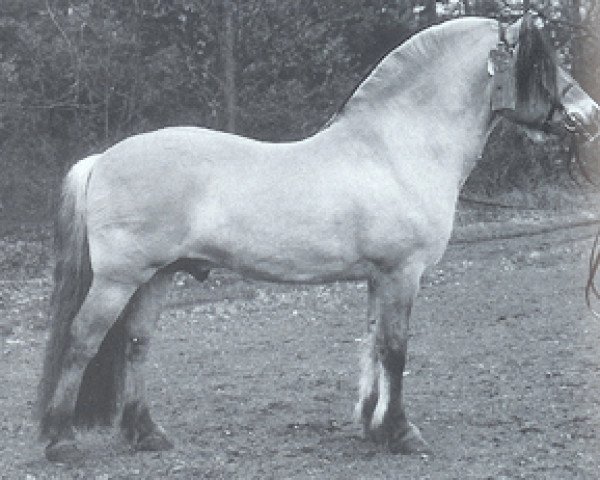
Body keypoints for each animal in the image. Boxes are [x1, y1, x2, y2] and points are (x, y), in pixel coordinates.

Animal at [37, 12, 600, 462]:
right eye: (541, 64)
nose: (589, 114)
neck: (395, 150)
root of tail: (102, 159)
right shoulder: (402, 274)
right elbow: (395, 349)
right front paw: (402, 434)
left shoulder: (379, 277)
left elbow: (373, 344)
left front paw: (373, 426)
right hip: (119, 280)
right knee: (82, 342)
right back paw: (62, 442)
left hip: (158, 277)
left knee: (136, 345)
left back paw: (147, 435)